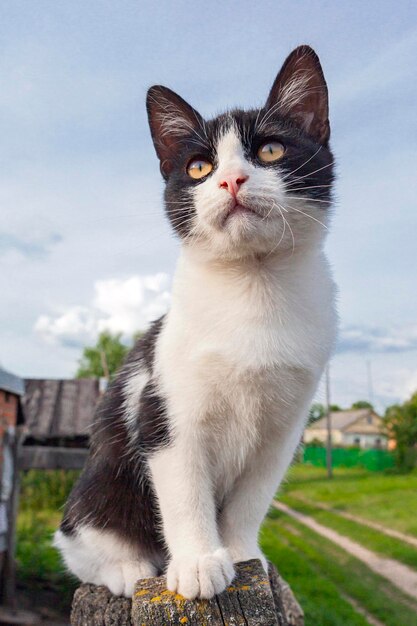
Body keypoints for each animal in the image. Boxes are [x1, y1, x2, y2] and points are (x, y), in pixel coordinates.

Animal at [53, 45, 336, 600]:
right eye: (200, 166)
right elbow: (185, 490)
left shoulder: (286, 428)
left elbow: (252, 497)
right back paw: (130, 569)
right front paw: (200, 562)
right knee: (80, 543)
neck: (253, 287)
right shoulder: (163, 407)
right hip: (98, 487)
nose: (231, 180)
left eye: (271, 151)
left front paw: (243, 553)